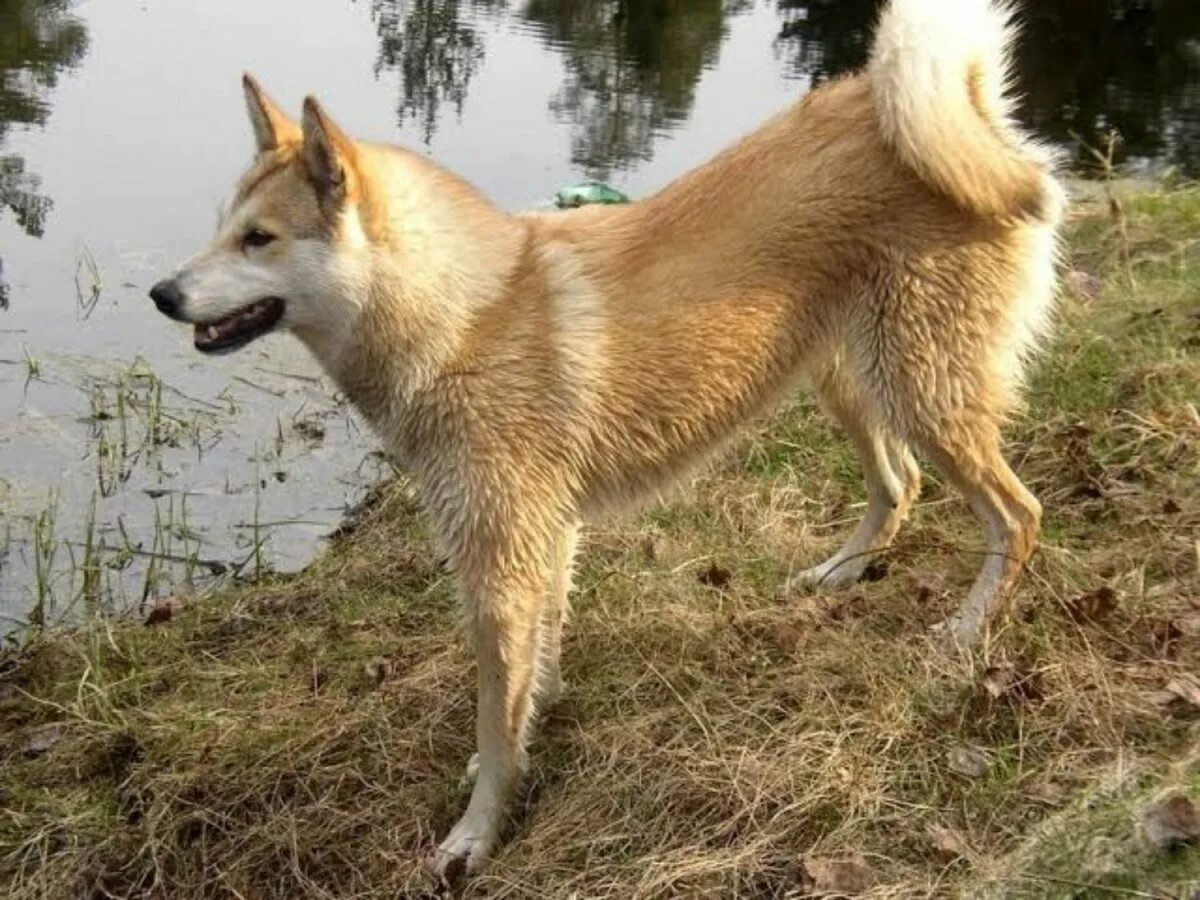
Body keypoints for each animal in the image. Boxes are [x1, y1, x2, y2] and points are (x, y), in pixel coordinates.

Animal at [147, 0, 1060, 878]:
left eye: (259, 238)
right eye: (223, 226)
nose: (162, 294)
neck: (462, 316)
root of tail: (974, 113)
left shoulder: (499, 562)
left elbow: (493, 710)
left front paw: (478, 832)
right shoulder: (543, 541)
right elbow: (531, 674)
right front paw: (525, 739)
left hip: (924, 392)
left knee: (1017, 516)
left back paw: (964, 633)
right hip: (852, 381)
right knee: (899, 485)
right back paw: (843, 571)